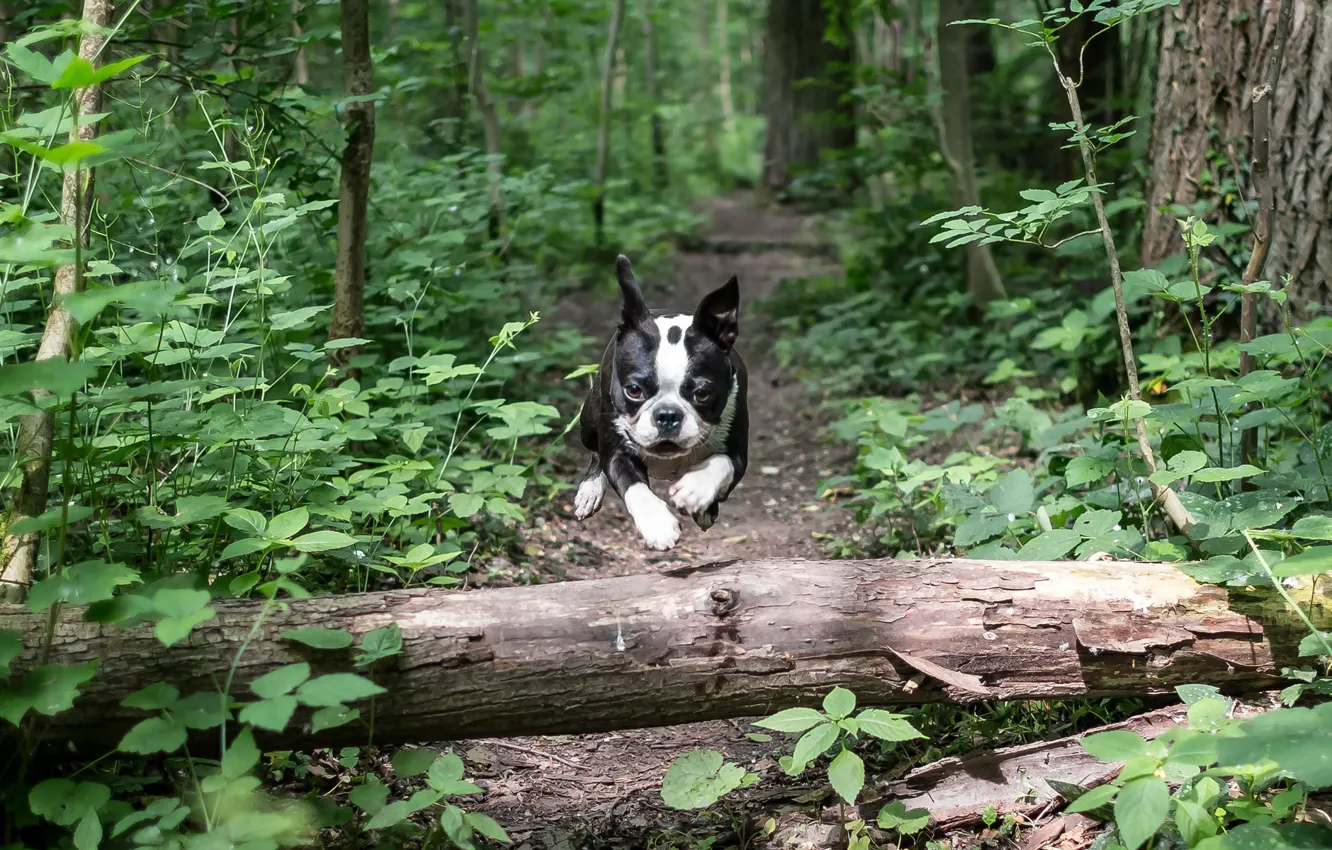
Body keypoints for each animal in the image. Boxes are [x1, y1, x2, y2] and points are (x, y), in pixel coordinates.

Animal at [575, 254, 751, 554]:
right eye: (634, 390)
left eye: (703, 394)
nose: (668, 415)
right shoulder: (617, 451)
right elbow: (633, 485)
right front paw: (657, 524)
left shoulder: (739, 453)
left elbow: (721, 461)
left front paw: (696, 489)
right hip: (588, 421)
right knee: (596, 452)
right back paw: (590, 489)